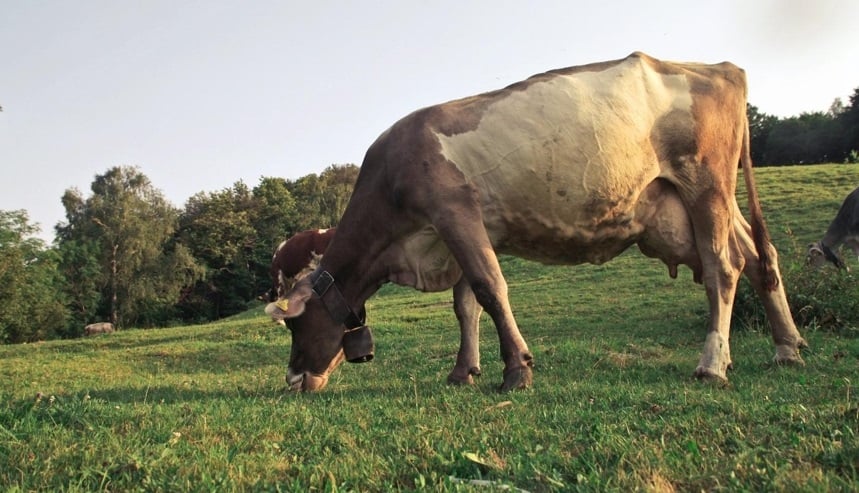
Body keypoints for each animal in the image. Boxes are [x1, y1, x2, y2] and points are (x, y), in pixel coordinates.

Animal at [266, 52, 807, 392]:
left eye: (296, 327)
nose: (292, 380)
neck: (405, 251)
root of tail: (720, 67)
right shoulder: (461, 229)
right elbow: (466, 305)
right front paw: (464, 371)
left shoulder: (453, 210)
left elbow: (490, 289)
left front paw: (517, 371)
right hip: (699, 204)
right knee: (759, 257)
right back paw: (787, 348)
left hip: (706, 183)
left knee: (724, 267)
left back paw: (713, 363)